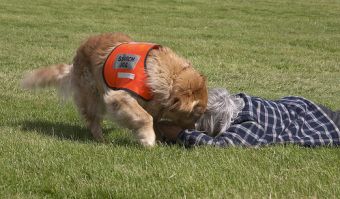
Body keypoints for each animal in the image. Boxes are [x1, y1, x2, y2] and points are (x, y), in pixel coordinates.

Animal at [22, 32, 207, 146]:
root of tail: (76, 58)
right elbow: (146, 117)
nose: (197, 129)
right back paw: (101, 139)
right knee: (93, 120)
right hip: (92, 95)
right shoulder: (120, 97)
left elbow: (151, 118)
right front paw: (147, 138)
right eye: (195, 113)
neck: (169, 75)